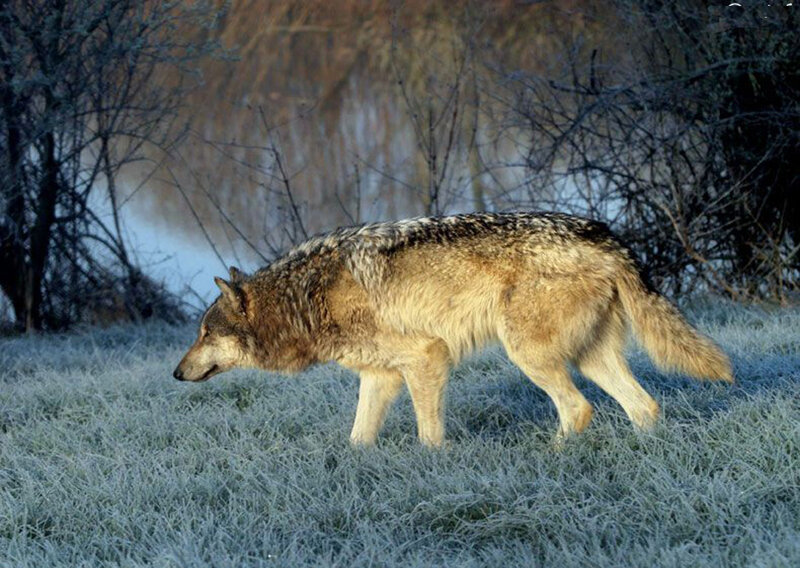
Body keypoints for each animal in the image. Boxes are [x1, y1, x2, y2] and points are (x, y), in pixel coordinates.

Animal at [173, 212, 732, 447]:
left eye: (204, 333)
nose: (175, 375)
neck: (307, 298)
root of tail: (606, 235)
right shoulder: (380, 377)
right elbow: (357, 438)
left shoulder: (426, 357)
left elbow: (428, 436)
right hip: (588, 359)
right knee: (644, 407)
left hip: (529, 355)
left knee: (578, 409)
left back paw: (549, 458)